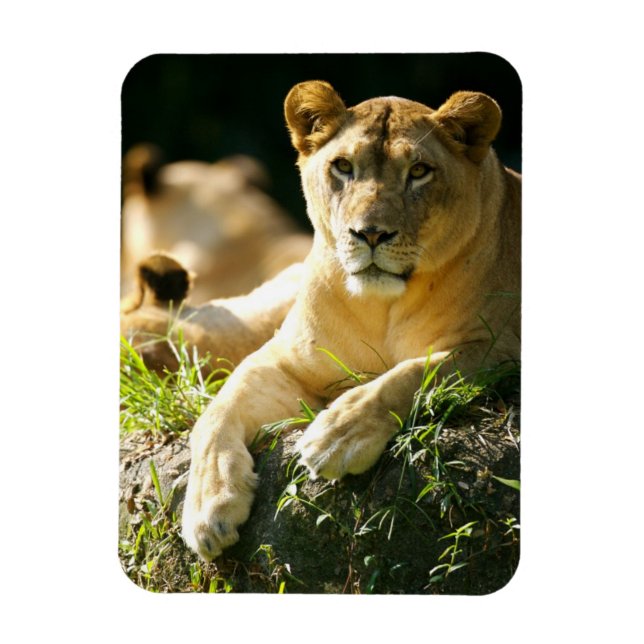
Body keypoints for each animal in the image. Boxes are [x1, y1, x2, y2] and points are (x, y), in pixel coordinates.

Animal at [179, 81, 521, 561]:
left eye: (419, 171)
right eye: (343, 166)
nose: (370, 233)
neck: (379, 307)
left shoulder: (498, 347)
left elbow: (412, 374)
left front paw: (337, 437)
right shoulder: (284, 358)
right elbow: (217, 410)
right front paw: (208, 507)